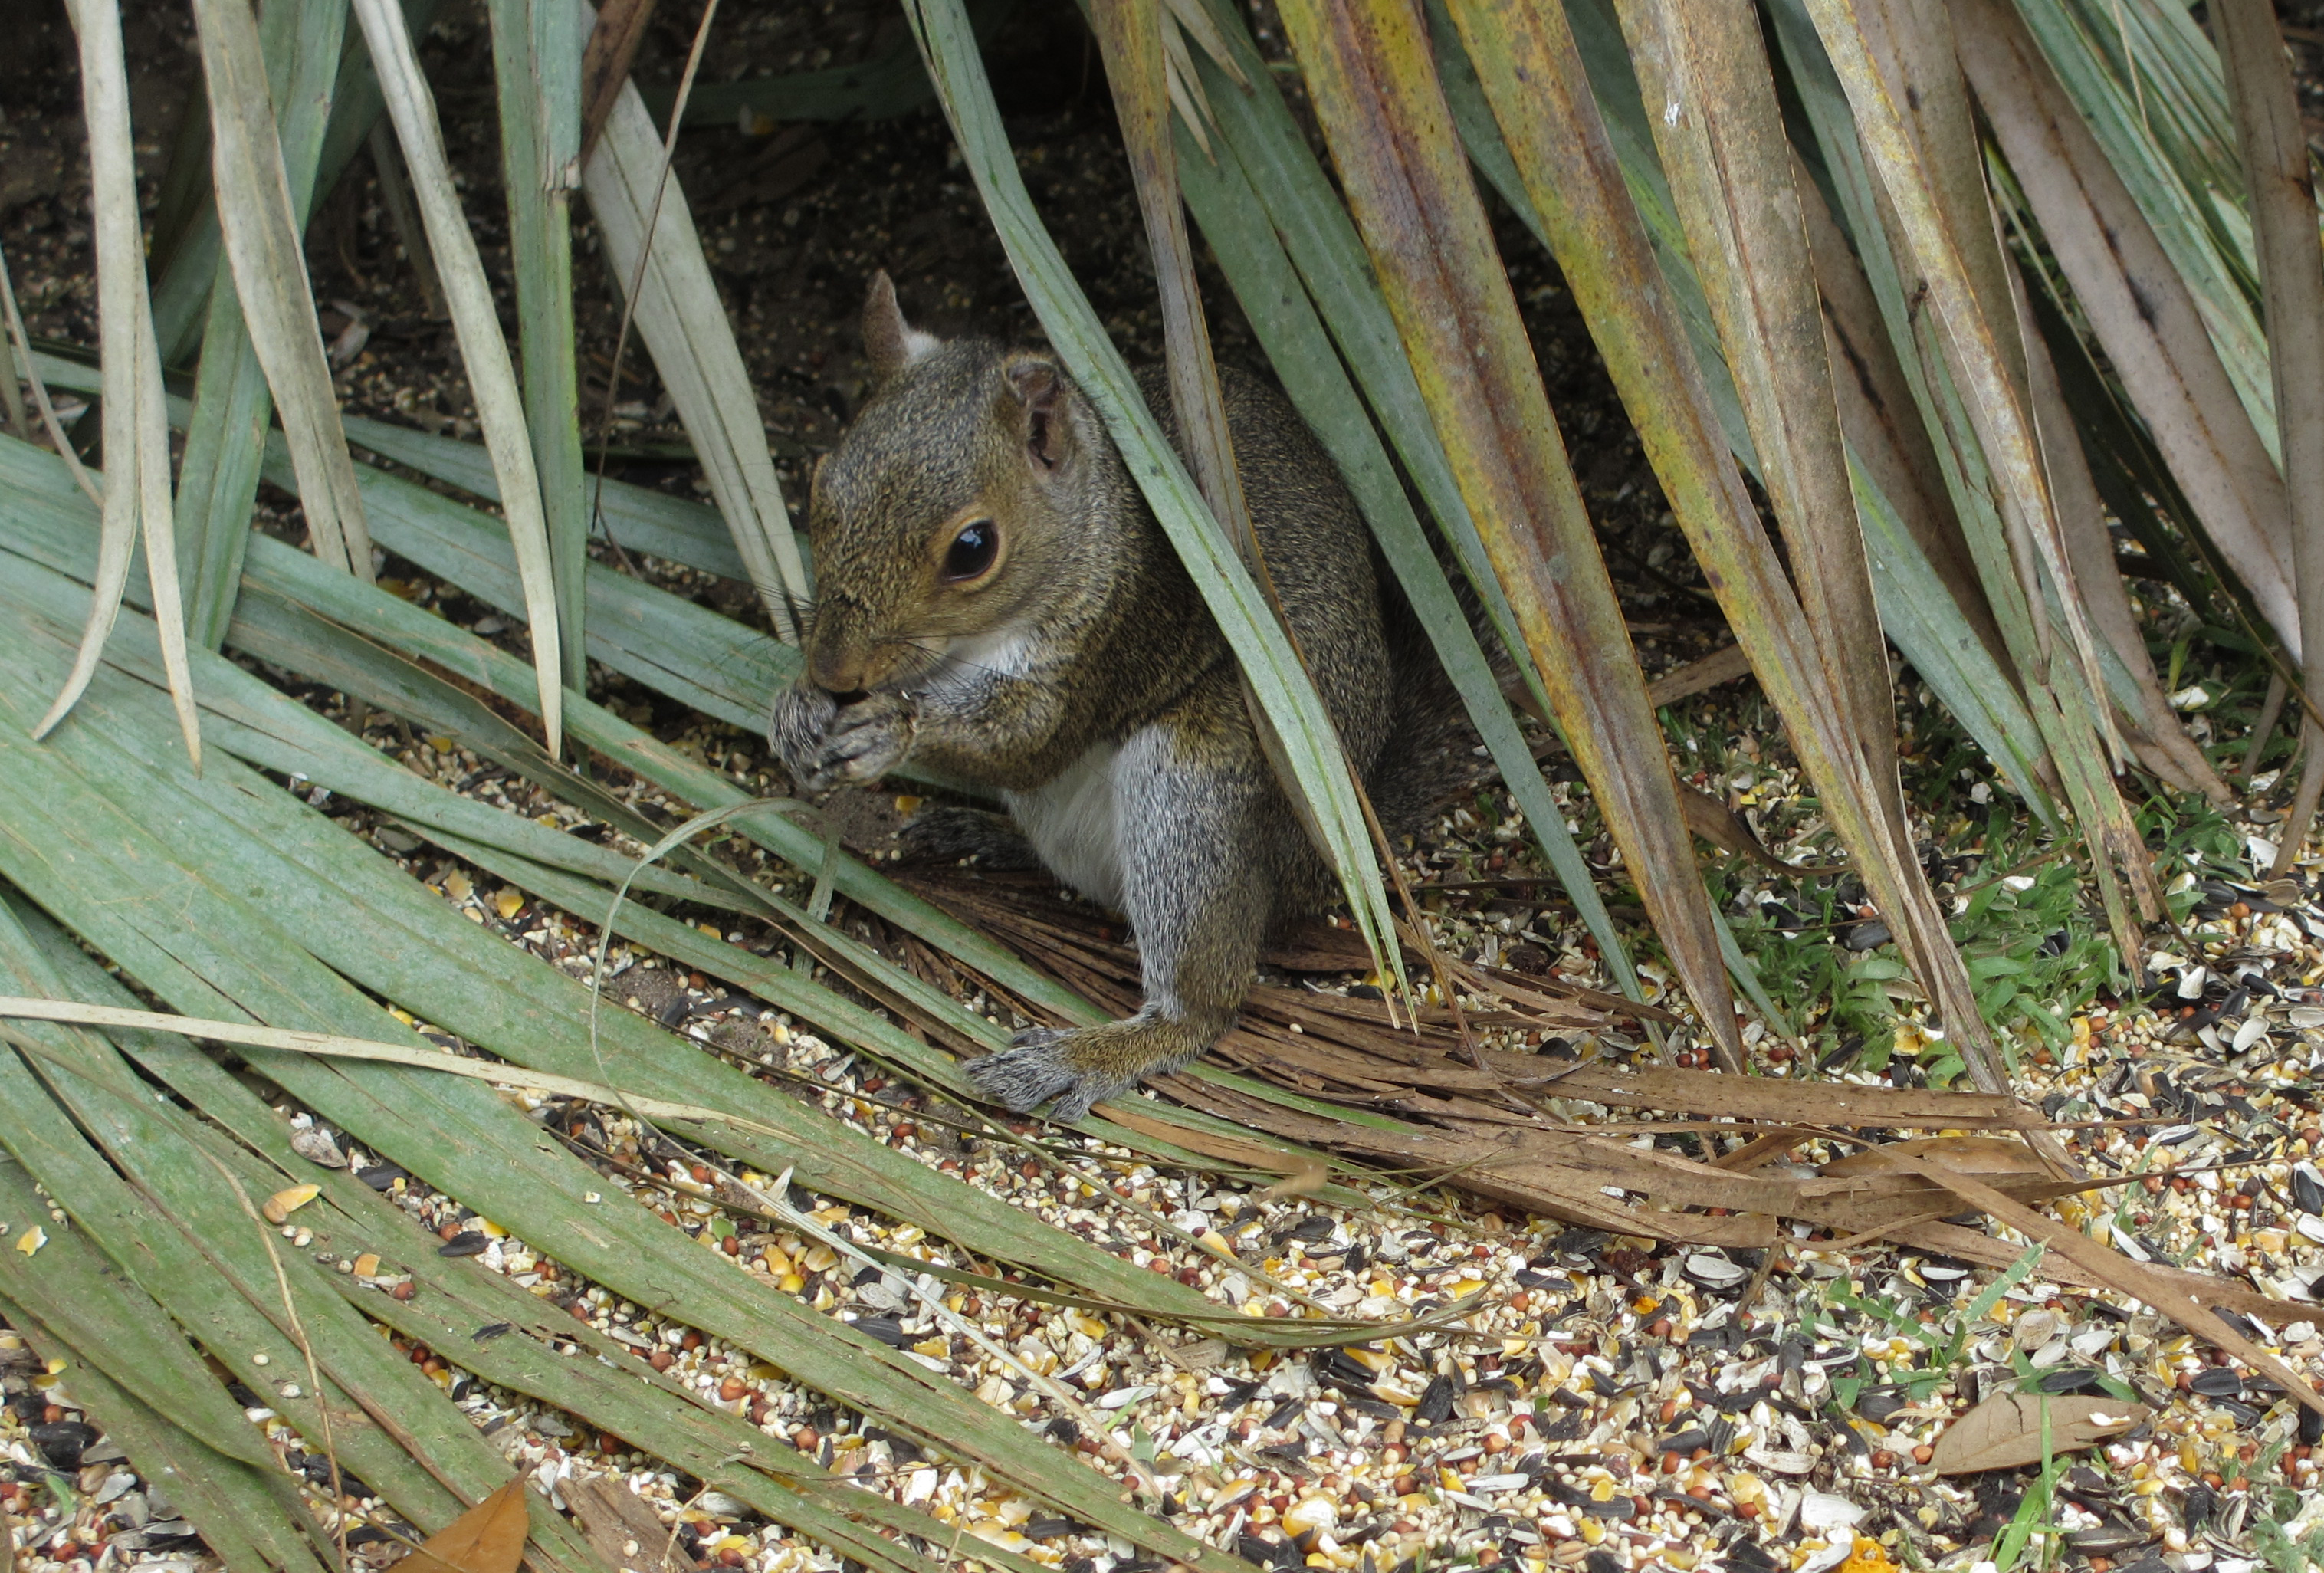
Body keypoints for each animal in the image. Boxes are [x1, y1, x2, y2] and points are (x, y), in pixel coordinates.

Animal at [766, 276, 1449, 1125]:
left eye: (972, 550)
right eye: (821, 484)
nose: (833, 669)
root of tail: (1327, 866)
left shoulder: (1112, 631)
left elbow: (1029, 741)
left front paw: (891, 727)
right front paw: (796, 710)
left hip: (1194, 786)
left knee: (1202, 1008)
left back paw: (1083, 1057)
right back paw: (980, 835)